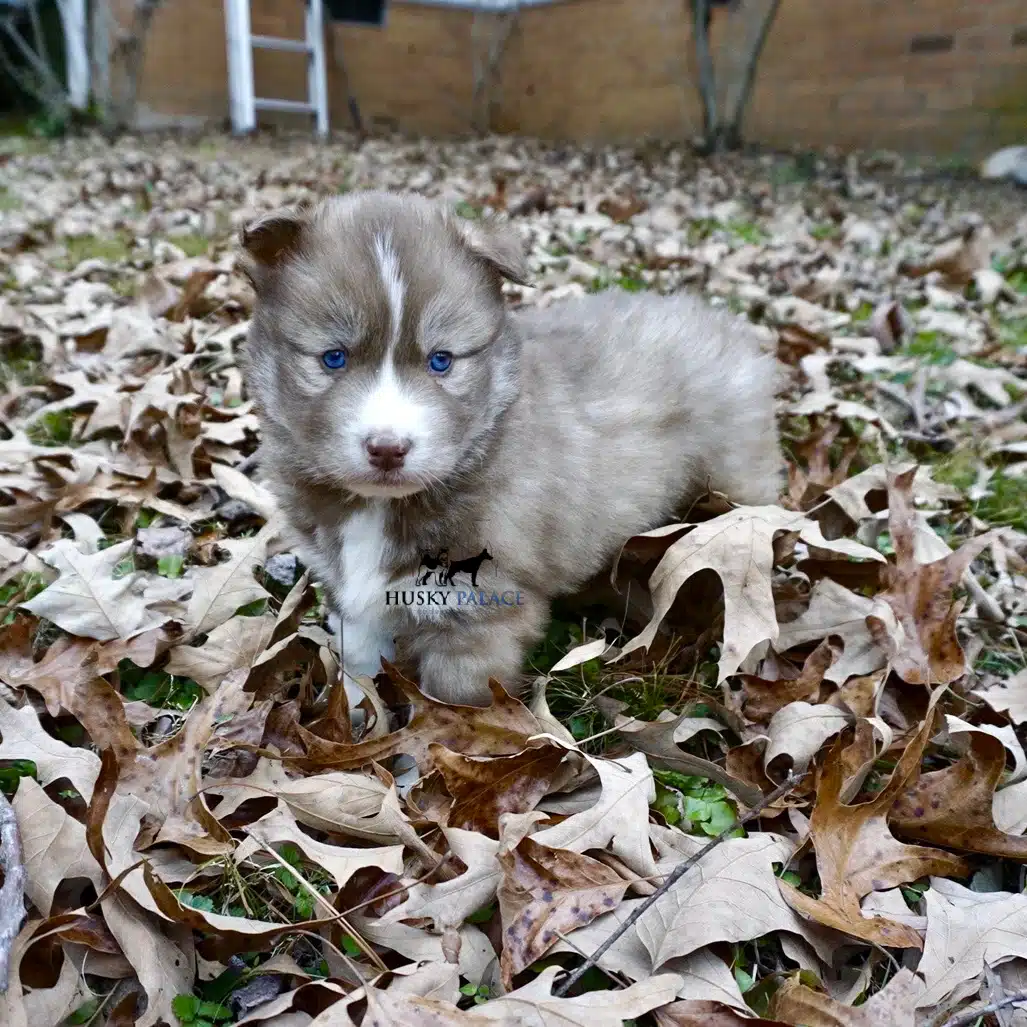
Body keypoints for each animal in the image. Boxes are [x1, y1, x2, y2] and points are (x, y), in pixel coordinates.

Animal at [240, 191, 780, 706]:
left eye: (442, 360)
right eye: (334, 357)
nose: (388, 449)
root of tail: (724, 321)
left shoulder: (480, 616)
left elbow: (451, 710)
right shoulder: (356, 594)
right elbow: (360, 672)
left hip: (737, 487)